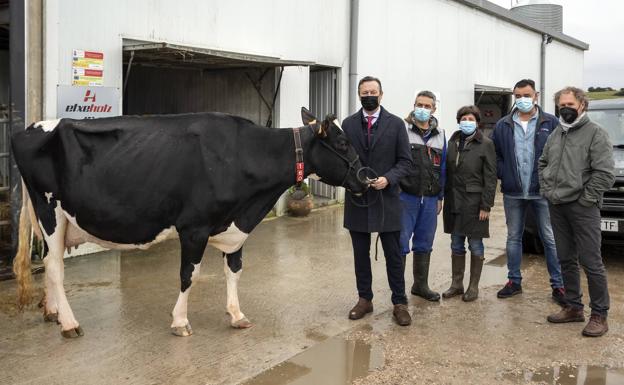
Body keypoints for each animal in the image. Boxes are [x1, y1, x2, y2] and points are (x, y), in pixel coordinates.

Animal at [12, 107, 368, 336]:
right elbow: (189, 275)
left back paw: (53, 313)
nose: (367, 177)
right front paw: (180, 322)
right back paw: (70, 324)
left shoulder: (235, 225)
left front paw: (237, 315)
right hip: (50, 211)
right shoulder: (194, 228)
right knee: (55, 267)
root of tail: (31, 126)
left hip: (52, 219)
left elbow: (234, 270)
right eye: (342, 144)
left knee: (50, 263)